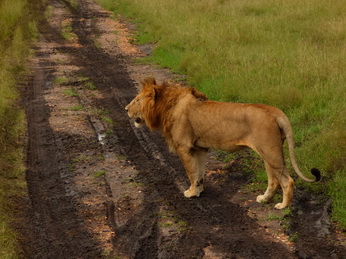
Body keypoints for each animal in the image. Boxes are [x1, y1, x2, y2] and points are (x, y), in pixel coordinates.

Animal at [125, 77, 322, 209]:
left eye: (137, 100)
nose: (126, 109)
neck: (168, 106)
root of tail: (275, 112)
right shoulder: (199, 148)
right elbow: (199, 172)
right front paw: (199, 190)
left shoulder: (184, 147)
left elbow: (190, 172)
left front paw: (191, 192)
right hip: (269, 153)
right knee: (274, 181)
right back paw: (264, 199)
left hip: (270, 151)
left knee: (287, 181)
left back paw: (282, 206)